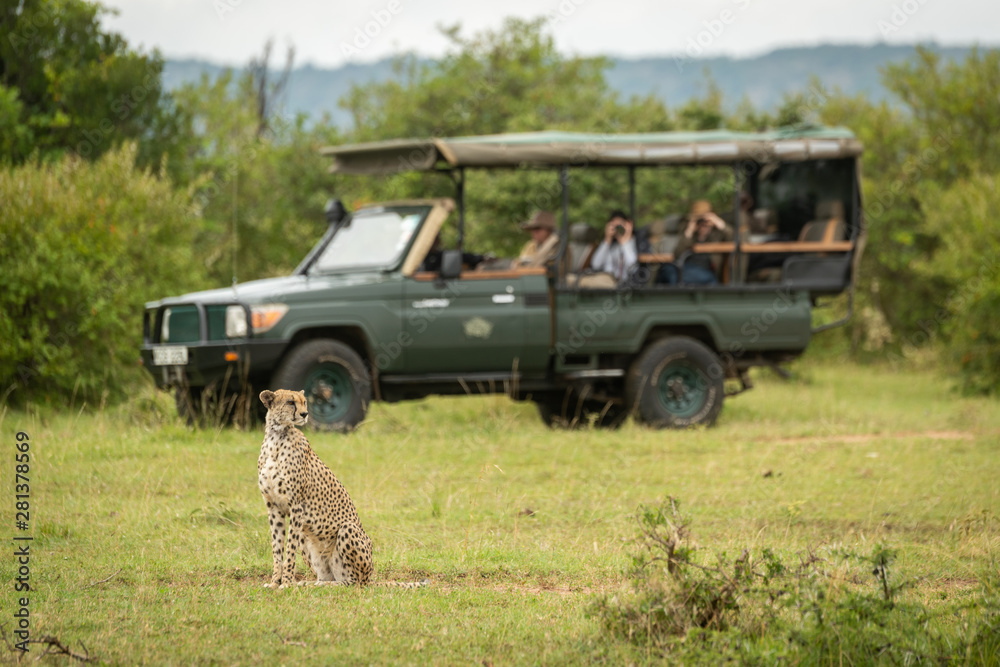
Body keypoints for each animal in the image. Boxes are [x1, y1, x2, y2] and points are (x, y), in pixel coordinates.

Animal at [257, 388, 426, 589]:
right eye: (290, 402)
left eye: (304, 402)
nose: (305, 414)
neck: (276, 436)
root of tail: (371, 578)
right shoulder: (273, 506)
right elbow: (277, 548)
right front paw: (275, 582)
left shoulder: (296, 506)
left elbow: (289, 548)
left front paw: (286, 583)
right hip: (309, 542)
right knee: (327, 577)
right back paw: (309, 584)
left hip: (347, 529)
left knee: (352, 583)